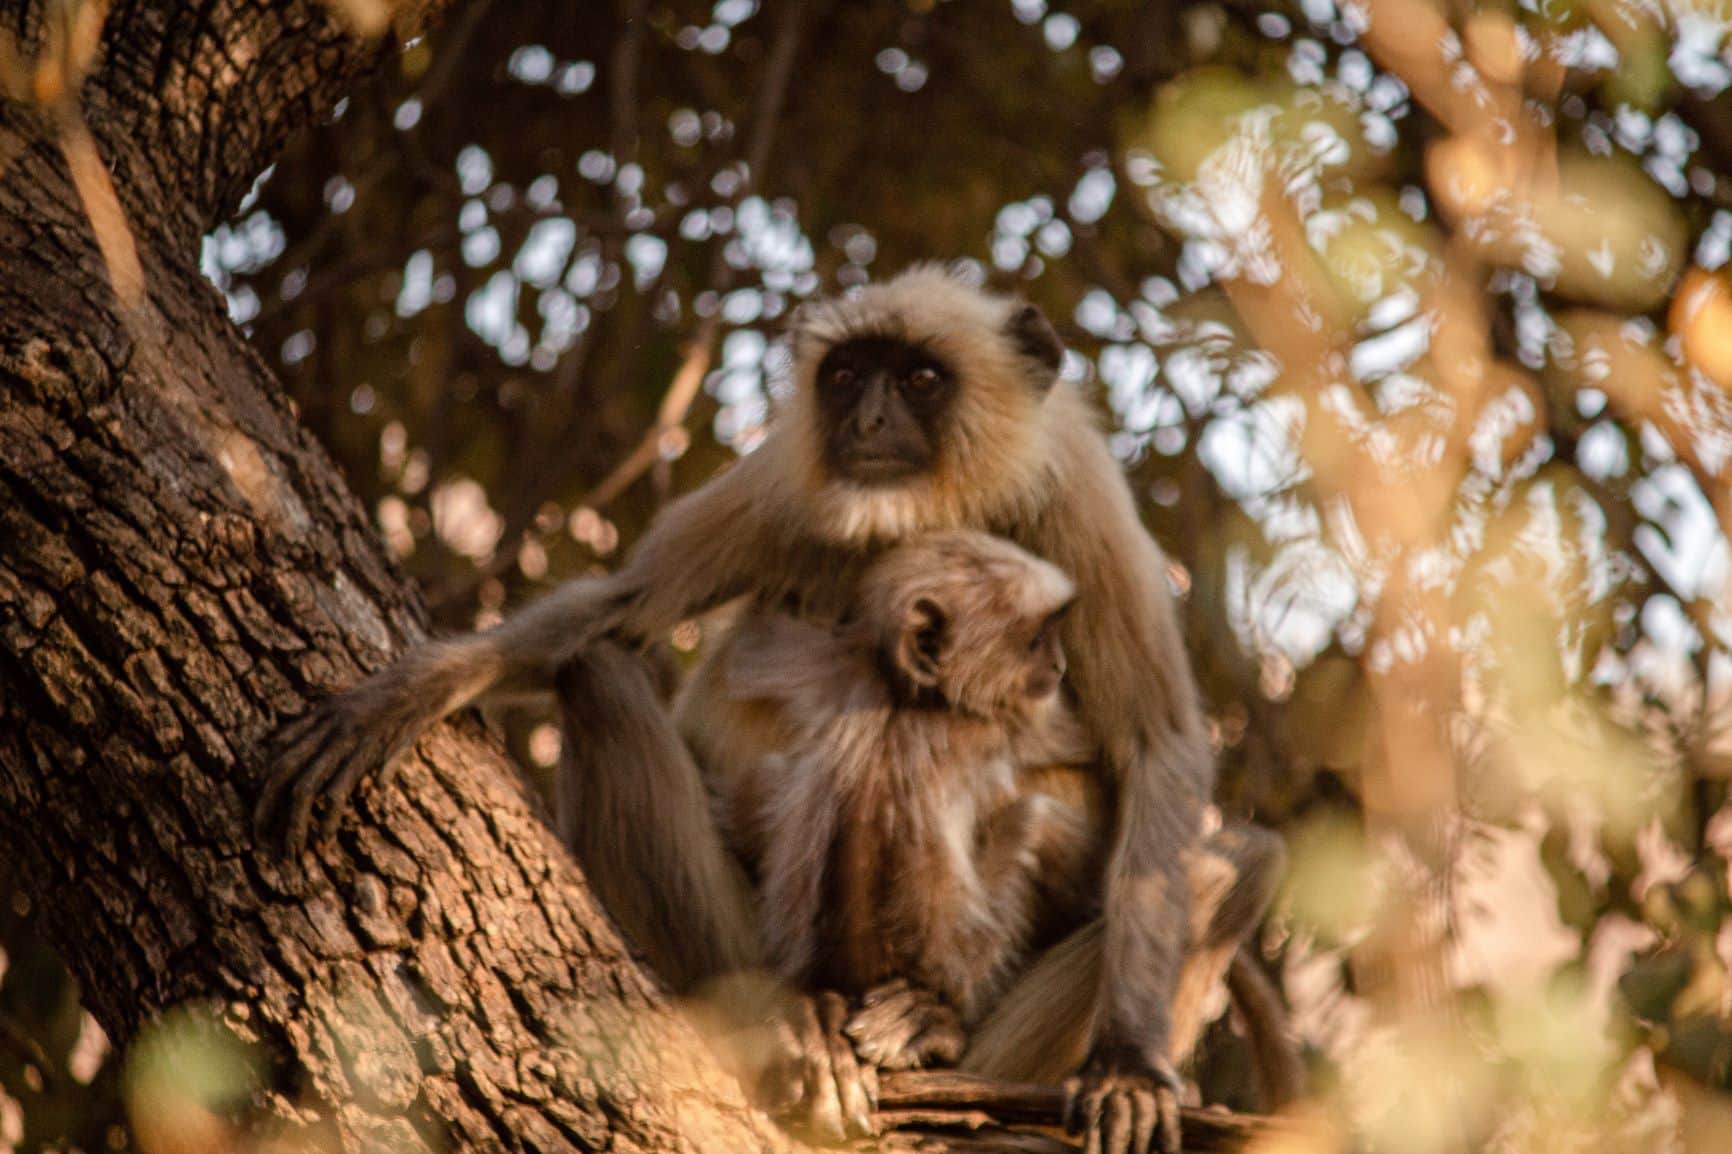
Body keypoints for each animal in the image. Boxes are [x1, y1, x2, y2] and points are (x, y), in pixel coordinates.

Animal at [259, 265, 1288, 1150]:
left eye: (919, 378)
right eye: (846, 376)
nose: (868, 416)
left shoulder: (1079, 498)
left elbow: (1157, 744)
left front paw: (1131, 1065)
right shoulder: (785, 481)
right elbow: (617, 610)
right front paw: (407, 694)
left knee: (1235, 863)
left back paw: (938, 1044)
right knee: (601, 675)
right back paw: (783, 1022)